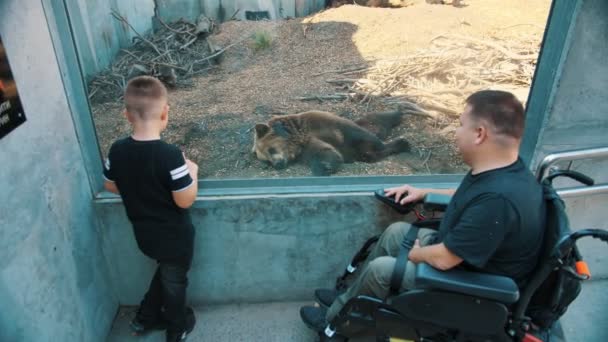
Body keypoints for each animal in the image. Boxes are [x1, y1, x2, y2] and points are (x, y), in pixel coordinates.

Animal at [249, 111, 410, 176]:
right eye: (267, 161)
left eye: (271, 150)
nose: (277, 164)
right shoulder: (307, 147)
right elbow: (324, 152)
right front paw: (324, 167)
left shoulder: (321, 122)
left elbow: (358, 134)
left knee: (375, 121)